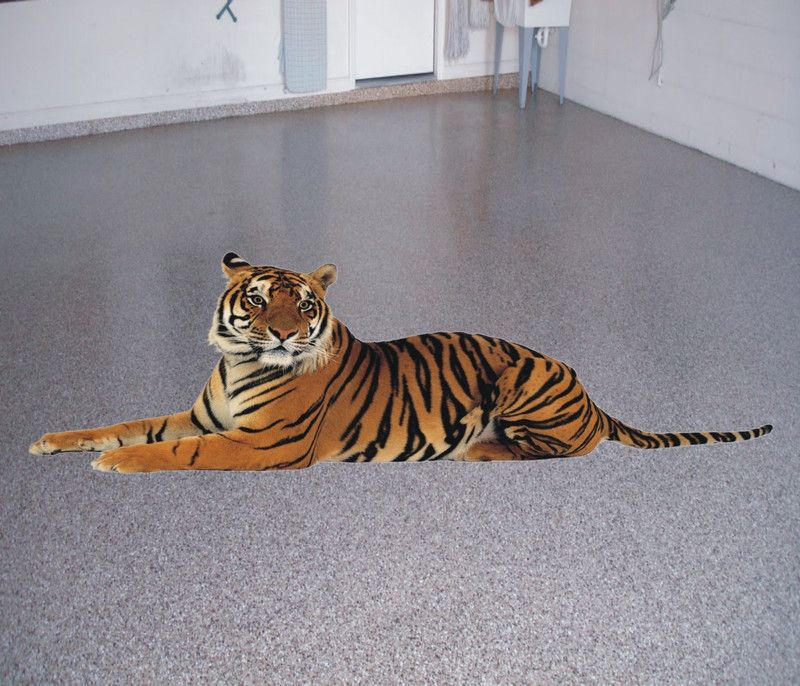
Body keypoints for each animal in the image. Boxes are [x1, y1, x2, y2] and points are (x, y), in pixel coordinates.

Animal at [29, 253, 773, 472]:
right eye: (260, 299)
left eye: (305, 305)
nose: (283, 336)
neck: (239, 363)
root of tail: (590, 394)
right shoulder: (202, 416)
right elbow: (125, 425)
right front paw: (51, 441)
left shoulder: (259, 445)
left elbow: (173, 452)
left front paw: (115, 465)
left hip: (519, 382)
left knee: (562, 451)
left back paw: (478, 451)